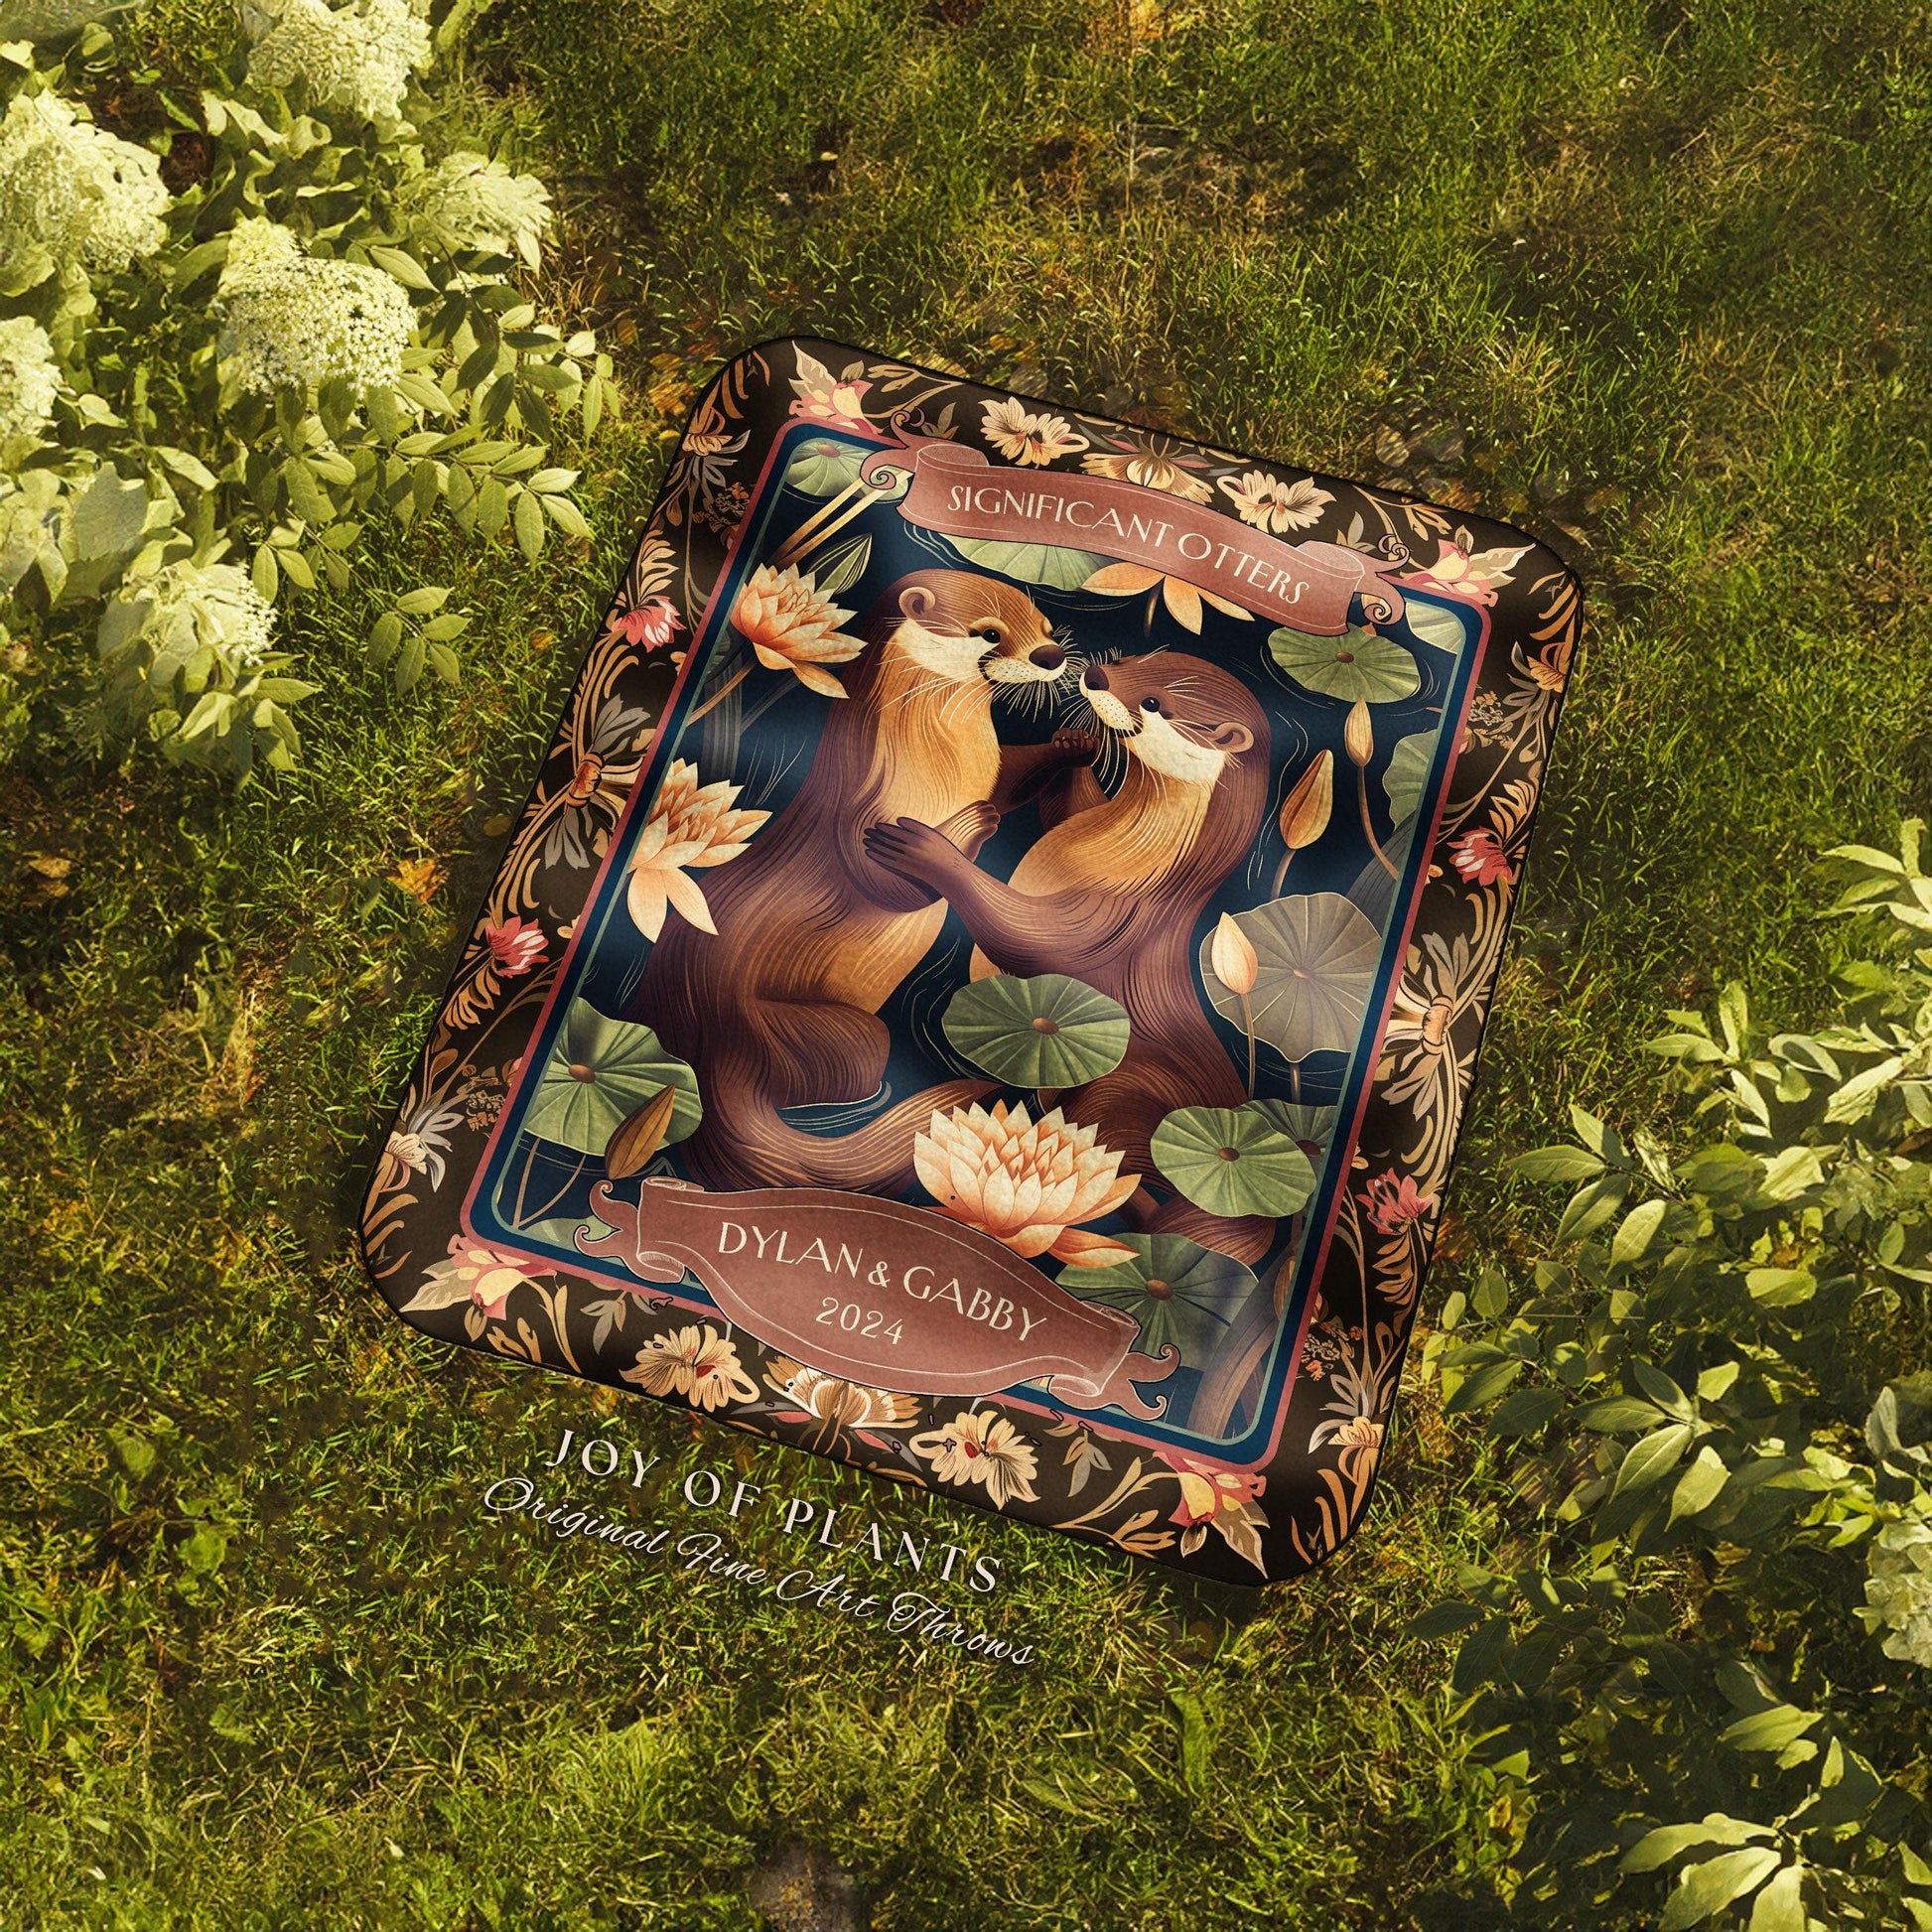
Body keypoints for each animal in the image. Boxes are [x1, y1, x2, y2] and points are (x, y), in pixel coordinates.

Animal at [628, 568, 1096, 1194]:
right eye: (989, 633)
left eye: (1044, 625)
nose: (1049, 656)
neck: (940, 766)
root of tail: (709, 1042)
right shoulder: (859, 814)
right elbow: (883, 882)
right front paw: (950, 835)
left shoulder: (991, 771)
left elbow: (1009, 780)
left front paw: (1072, 743)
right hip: (825, 1035)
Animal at [863, 650, 1274, 1263]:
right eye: (1133, 658)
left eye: (1153, 702)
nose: (1096, 675)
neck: (1121, 859)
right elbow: (1065, 807)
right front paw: (1071, 743)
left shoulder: (1105, 920)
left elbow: (1027, 937)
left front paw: (929, 850)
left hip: (1119, 1091)